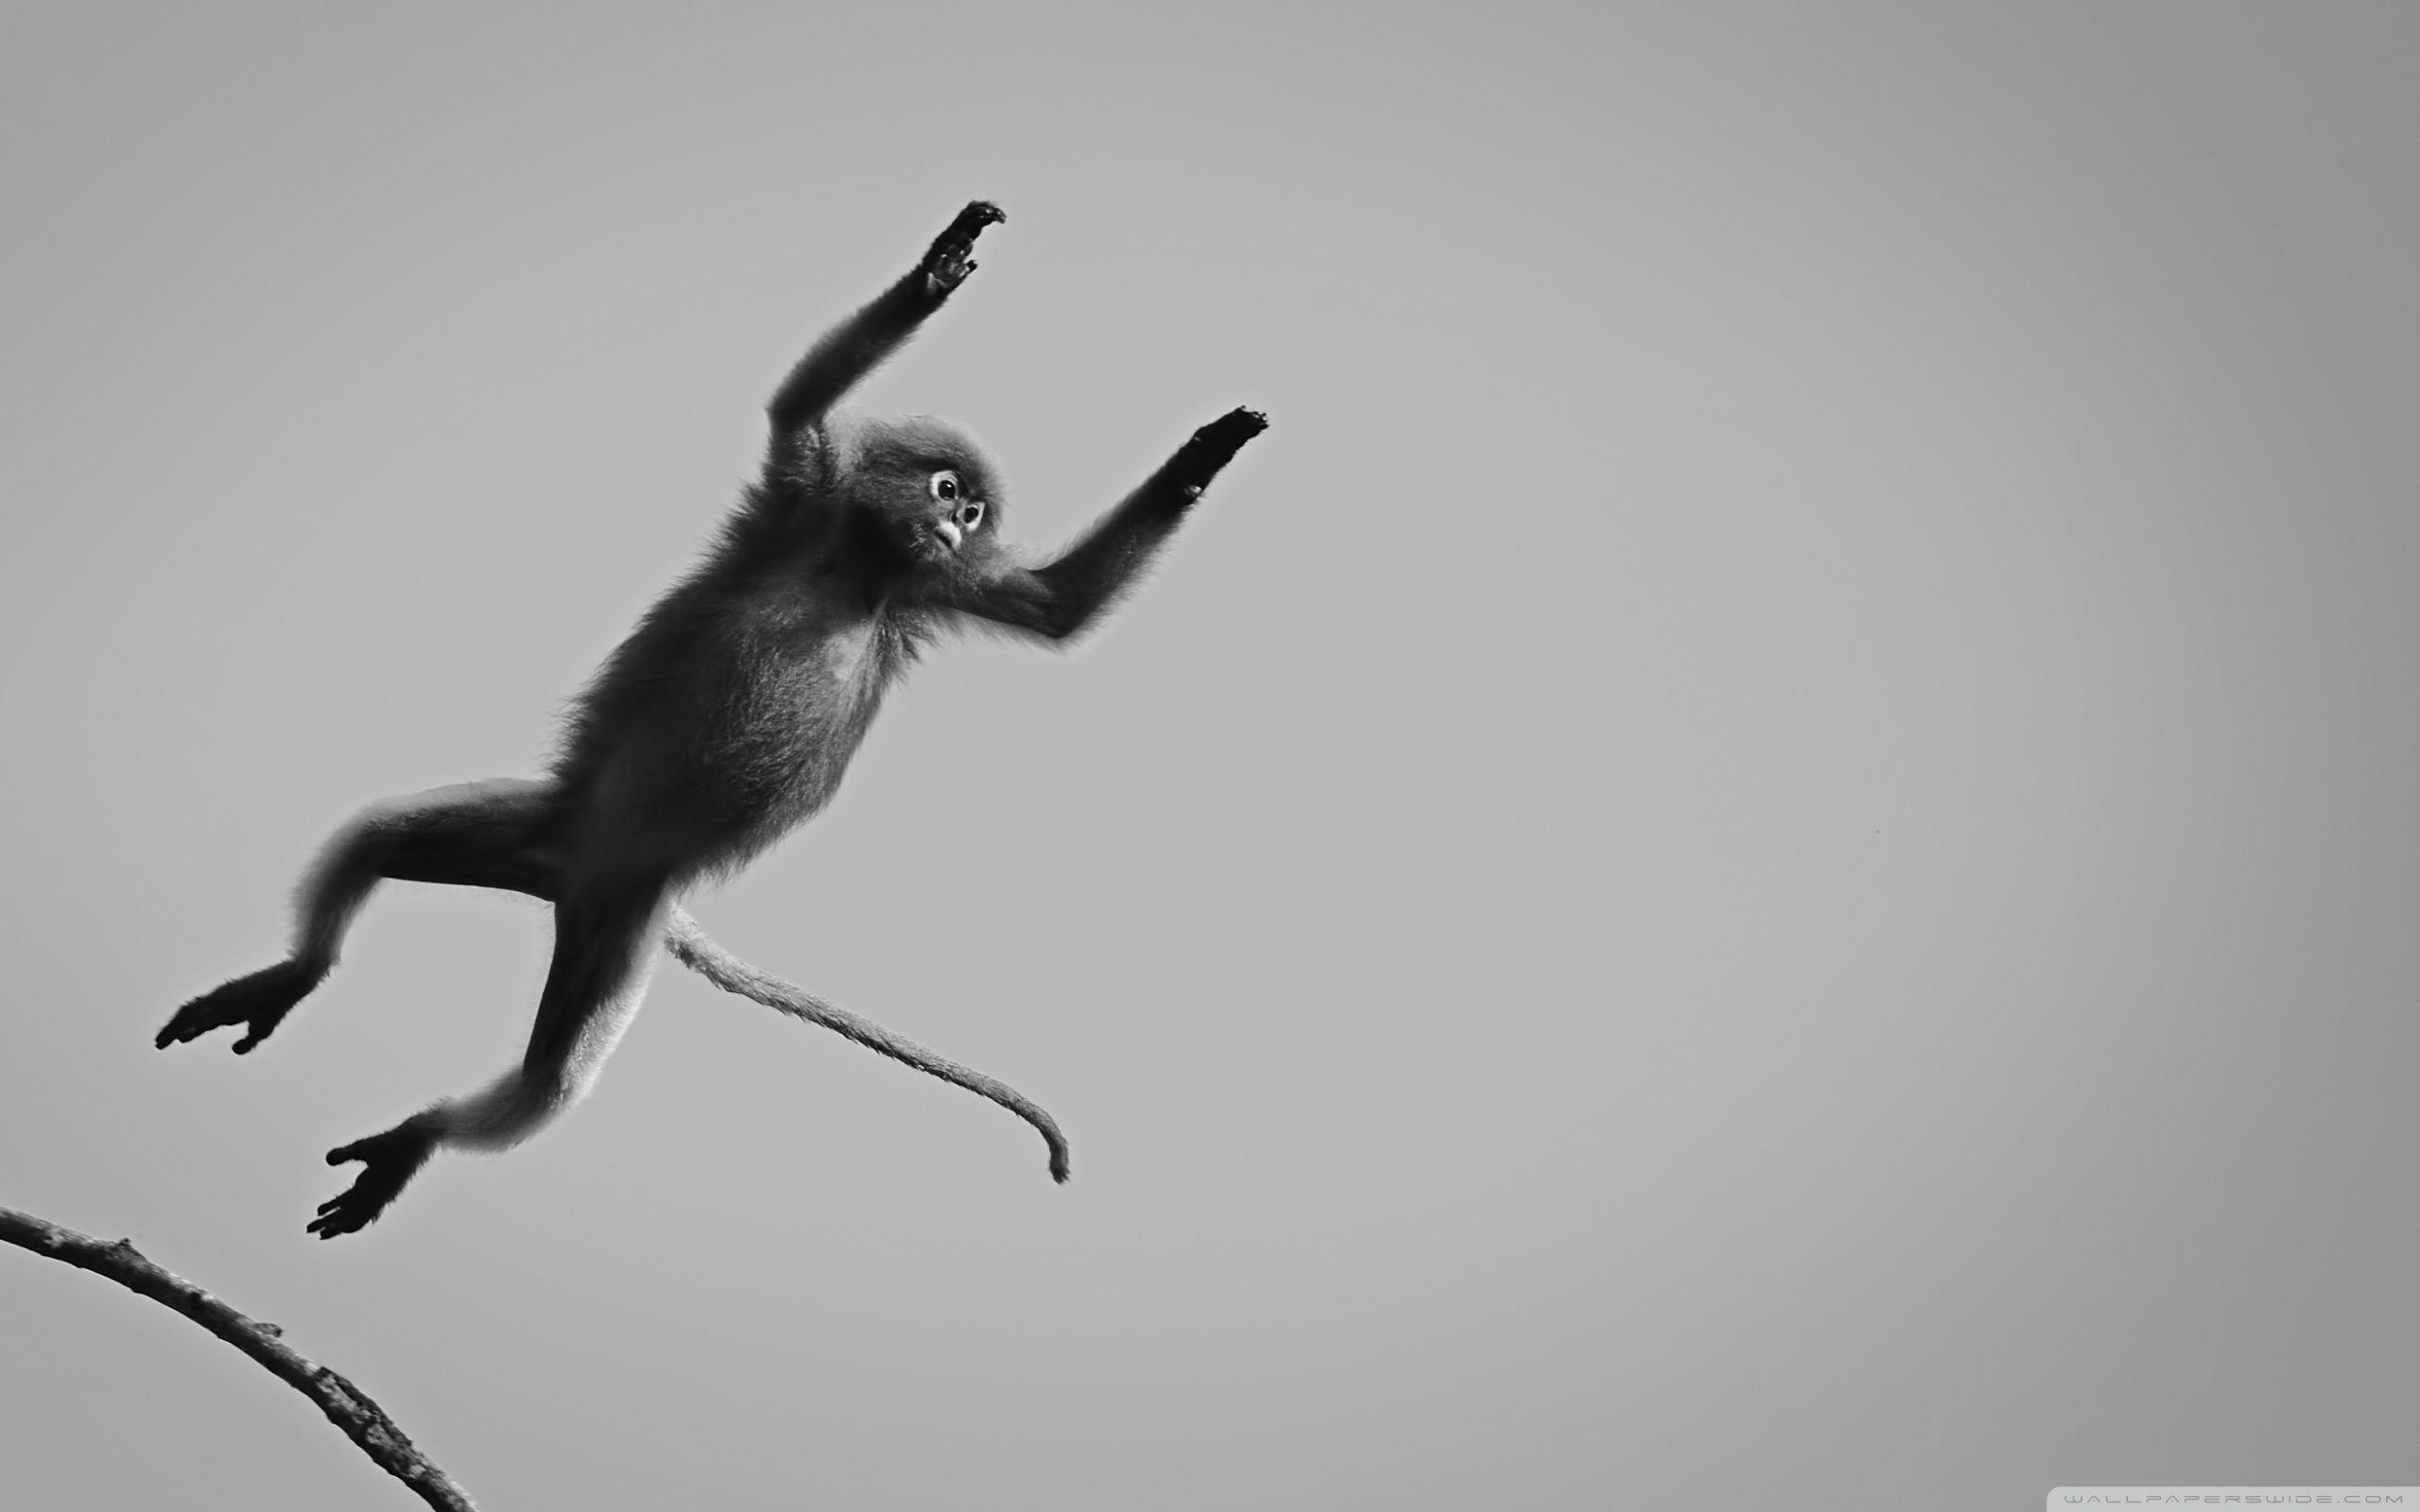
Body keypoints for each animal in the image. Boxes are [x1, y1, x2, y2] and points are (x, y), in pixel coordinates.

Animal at [157, 201, 1267, 1238]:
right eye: (950, 491)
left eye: (974, 514)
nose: (957, 525)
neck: (860, 570)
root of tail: (576, 874)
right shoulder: (805, 496)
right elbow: (801, 405)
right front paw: (941, 266)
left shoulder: (934, 587)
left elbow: (1056, 610)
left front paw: (1201, 458)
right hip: (555, 836)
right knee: (377, 838)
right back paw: (299, 976)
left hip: (618, 917)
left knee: (544, 1076)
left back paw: (414, 1135)